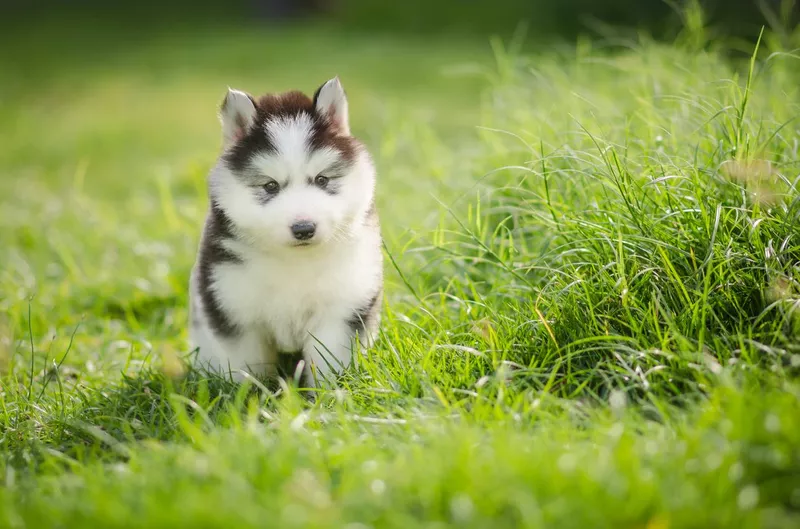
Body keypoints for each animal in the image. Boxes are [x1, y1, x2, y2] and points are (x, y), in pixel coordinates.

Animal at [191, 77, 384, 384]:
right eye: (270, 186)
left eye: (322, 179)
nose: (303, 228)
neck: (294, 262)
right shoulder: (235, 311)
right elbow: (248, 369)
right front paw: (248, 393)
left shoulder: (339, 310)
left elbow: (328, 363)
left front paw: (328, 392)